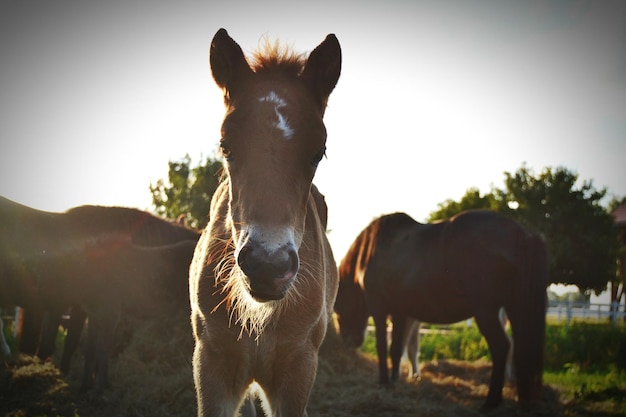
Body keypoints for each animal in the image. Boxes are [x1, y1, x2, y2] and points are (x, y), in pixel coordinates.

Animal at [332, 210, 544, 412]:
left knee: (501, 346)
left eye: (337, 312)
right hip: (515, 308)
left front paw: (384, 381)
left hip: (486, 312)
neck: (374, 250)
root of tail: (522, 234)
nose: (349, 342)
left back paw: (491, 402)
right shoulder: (400, 314)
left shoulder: (380, 310)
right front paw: (394, 379)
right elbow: (397, 348)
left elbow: (383, 347)